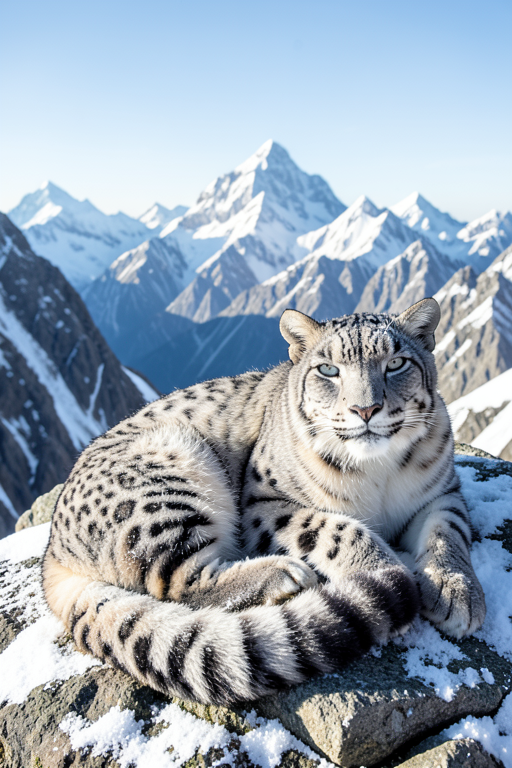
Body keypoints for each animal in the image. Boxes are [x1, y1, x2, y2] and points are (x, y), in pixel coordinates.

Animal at [42, 298, 486, 706]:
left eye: (396, 363)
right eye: (328, 370)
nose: (366, 409)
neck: (379, 476)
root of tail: (53, 551)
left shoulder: (442, 492)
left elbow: (447, 533)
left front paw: (456, 592)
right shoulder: (264, 504)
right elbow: (336, 528)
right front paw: (382, 566)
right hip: (166, 487)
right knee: (180, 581)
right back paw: (284, 574)